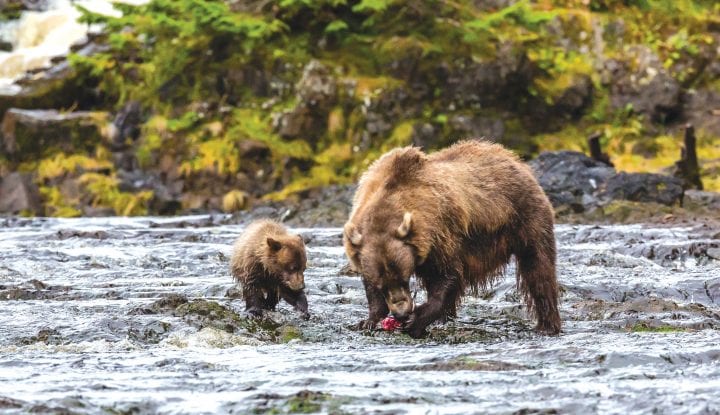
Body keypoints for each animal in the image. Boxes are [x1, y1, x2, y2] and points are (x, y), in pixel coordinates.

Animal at [343, 139, 560, 338]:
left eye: (404, 278)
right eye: (383, 284)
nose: (401, 313)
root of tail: (516, 160)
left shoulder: (442, 235)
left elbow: (447, 276)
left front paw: (416, 320)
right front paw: (367, 321)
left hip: (525, 219)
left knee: (539, 271)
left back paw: (547, 325)